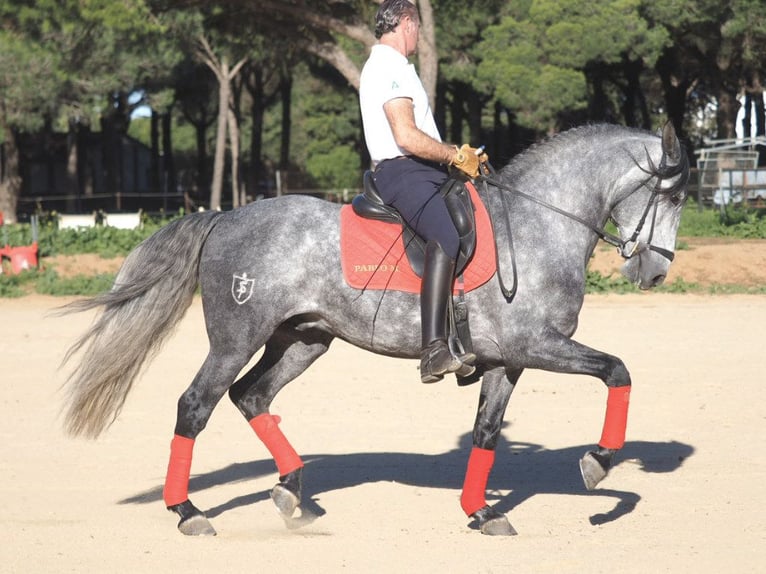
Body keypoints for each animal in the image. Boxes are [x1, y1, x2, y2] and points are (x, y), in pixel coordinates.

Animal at [63, 122, 692, 540]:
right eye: (675, 194)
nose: (656, 272)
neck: (540, 223)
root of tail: (225, 216)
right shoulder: (536, 346)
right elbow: (617, 371)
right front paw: (599, 463)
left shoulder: (507, 360)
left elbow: (487, 432)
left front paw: (481, 511)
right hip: (237, 338)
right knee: (197, 404)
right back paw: (189, 513)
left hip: (304, 340)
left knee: (252, 397)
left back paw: (292, 492)